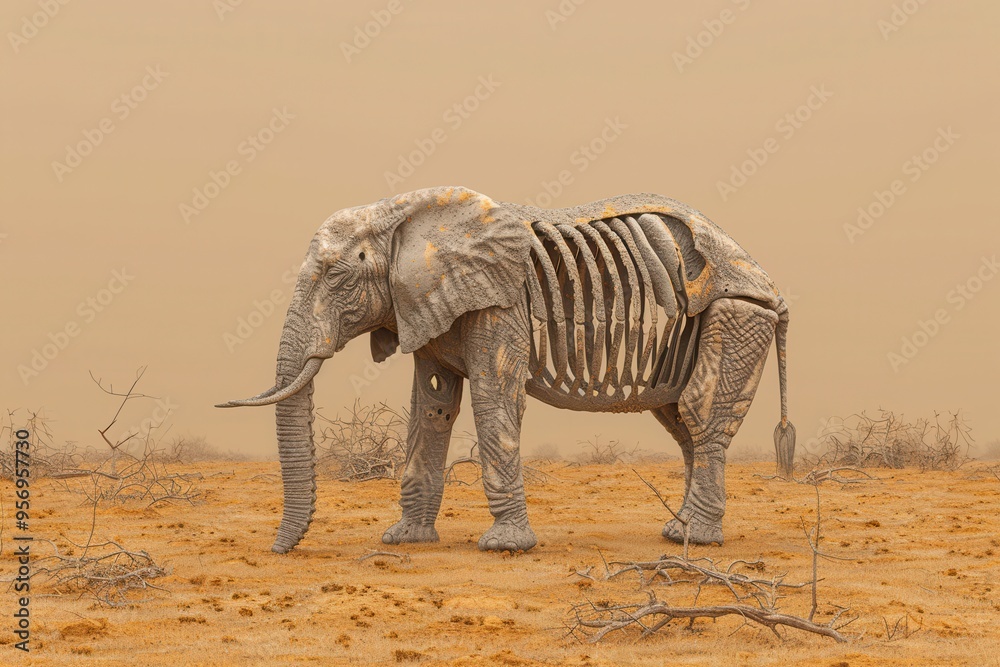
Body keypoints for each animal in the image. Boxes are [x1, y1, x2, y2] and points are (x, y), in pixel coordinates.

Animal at [218, 186, 796, 554]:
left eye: (339, 275)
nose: (278, 552)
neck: (403, 214)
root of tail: (766, 278)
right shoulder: (428, 309)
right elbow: (431, 408)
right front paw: (405, 541)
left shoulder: (500, 306)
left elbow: (494, 398)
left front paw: (503, 547)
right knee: (680, 424)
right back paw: (677, 531)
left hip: (736, 309)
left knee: (700, 414)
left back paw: (689, 540)